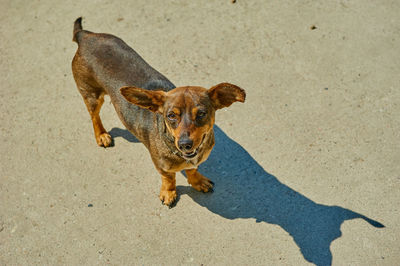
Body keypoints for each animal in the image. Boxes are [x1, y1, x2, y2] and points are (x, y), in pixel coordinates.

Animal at [72, 17, 247, 207]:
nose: (185, 144)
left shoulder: (194, 161)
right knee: (94, 116)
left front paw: (197, 181)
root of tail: (85, 36)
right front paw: (169, 193)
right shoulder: (162, 167)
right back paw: (102, 135)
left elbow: (192, 170)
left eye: (201, 113)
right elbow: (169, 179)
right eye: (170, 116)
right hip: (92, 96)